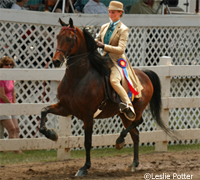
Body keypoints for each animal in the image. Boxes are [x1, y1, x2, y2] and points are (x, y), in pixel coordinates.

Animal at [39, 17, 172, 176]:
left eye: (70, 38)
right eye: (58, 37)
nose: (56, 61)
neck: (78, 77)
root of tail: (145, 74)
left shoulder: (88, 115)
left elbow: (87, 142)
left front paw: (84, 167)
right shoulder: (65, 108)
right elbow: (44, 111)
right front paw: (51, 134)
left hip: (136, 110)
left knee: (138, 122)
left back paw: (120, 141)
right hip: (124, 115)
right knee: (135, 134)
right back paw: (133, 164)